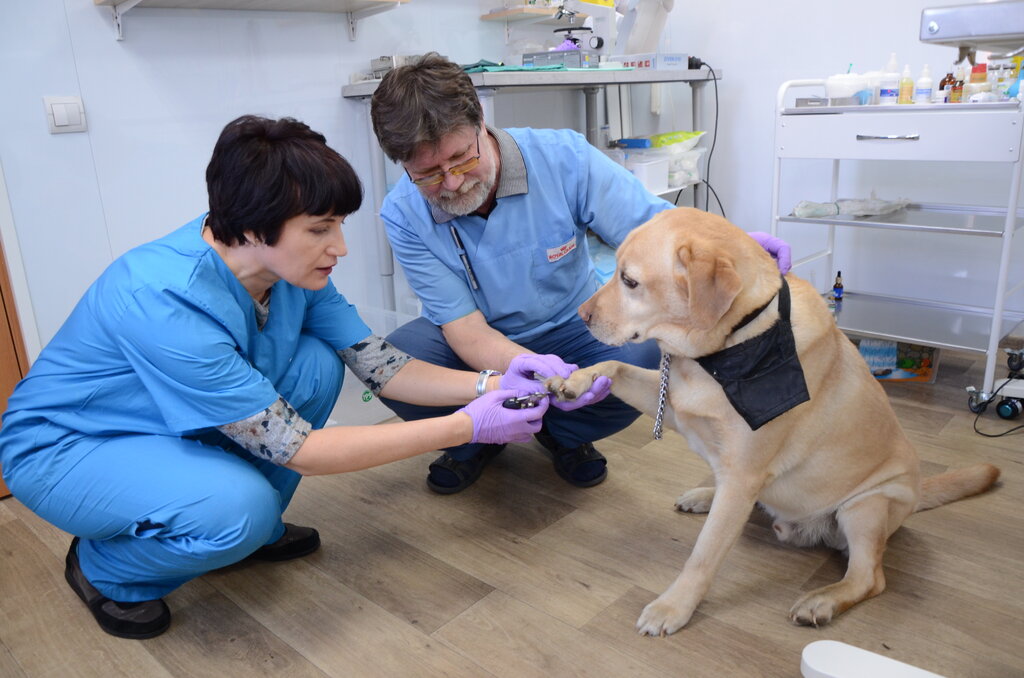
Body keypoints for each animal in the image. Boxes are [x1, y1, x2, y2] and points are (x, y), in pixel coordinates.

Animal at [548, 205, 995, 639]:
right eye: (616, 266)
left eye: (629, 281)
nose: (581, 314)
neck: (730, 346)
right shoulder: (677, 408)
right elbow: (615, 366)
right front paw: (575, 379)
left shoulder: (742, 473)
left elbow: (703, 555)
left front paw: (672, 608)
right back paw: (705, 495)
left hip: (866, 506)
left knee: (870, 577)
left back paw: (821, 601)